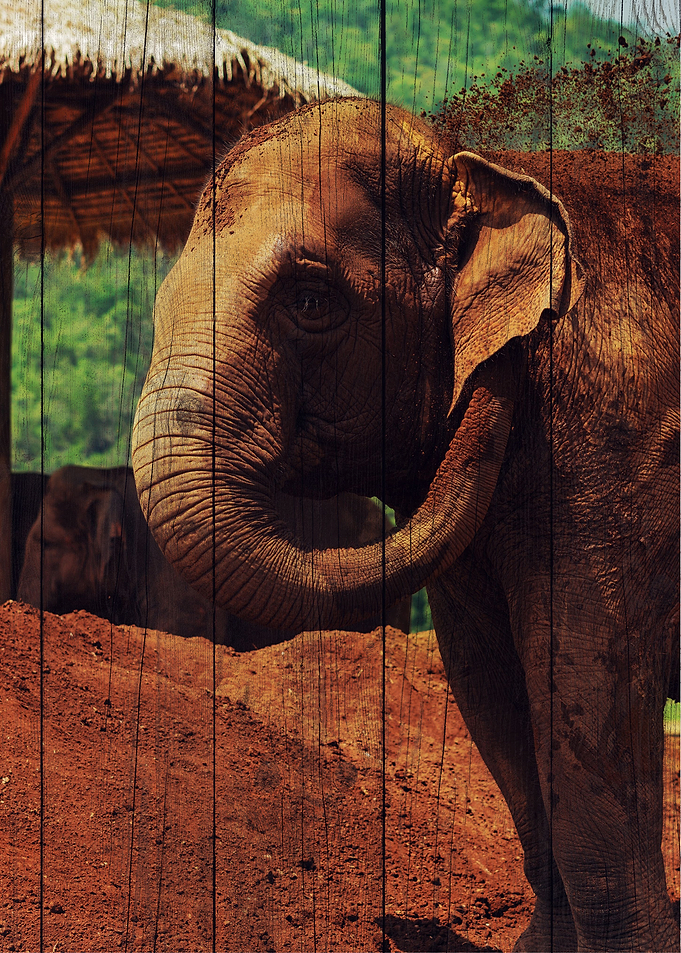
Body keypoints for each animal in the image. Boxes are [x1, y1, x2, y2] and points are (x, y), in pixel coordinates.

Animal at [131, 98, 679, 951]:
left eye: (310, 300)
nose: (493, 373)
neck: (485, 165)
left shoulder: (618, 441)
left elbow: (588, 682)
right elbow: (494, 689)